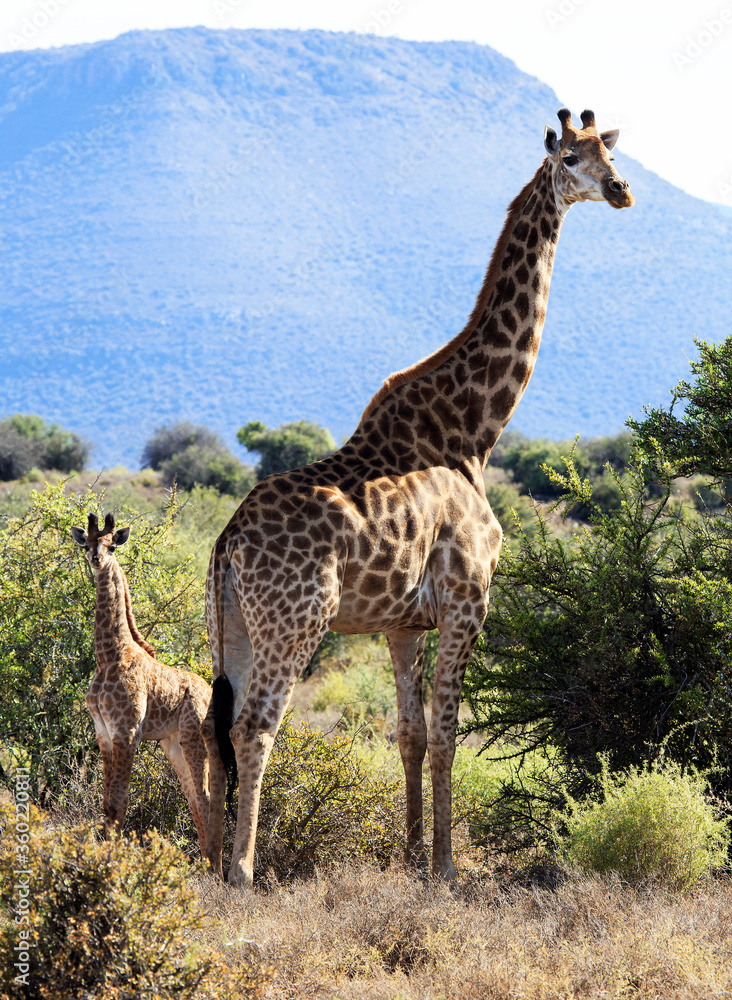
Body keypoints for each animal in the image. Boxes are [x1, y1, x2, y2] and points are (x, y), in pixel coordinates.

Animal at [72, 516, 212, 852]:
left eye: (111, 545)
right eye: (87, 544)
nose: (96, 559)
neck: (109, 656)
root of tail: (212, 692)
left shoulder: (128, 732)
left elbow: (119, 803)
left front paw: (112, 858)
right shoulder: (103, 733)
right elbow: (106, 805)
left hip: (194, 738)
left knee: (205, 800)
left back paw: (216, 866)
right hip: (173, 743)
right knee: (194, 801)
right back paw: (205, 863)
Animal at [203, 109, 632, 888]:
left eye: (612, 152)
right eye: (572, 157)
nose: (621, 191)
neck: (474, 432)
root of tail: (227, 544)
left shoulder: (403, 624)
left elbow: (408, 733)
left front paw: (407, 859)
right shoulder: (469, 597)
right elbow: (449, 735)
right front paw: (447, 869)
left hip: (234, 626)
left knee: (214, 722)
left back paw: (209, 858)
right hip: (296, 622)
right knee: (256, 726)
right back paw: (244, 872)